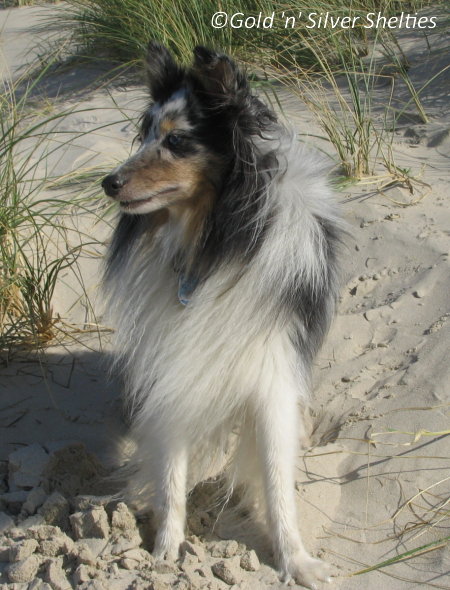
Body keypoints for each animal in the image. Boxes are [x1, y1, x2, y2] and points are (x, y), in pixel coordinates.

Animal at [102, 44, 342, 588]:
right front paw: (164, 554)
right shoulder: (172, 366)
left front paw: (296, 561)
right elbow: (171, 474)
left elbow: (276, 478)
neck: (213, 245)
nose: (108, 182)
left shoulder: (273, 373)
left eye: (177, 140)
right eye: (145, 134)